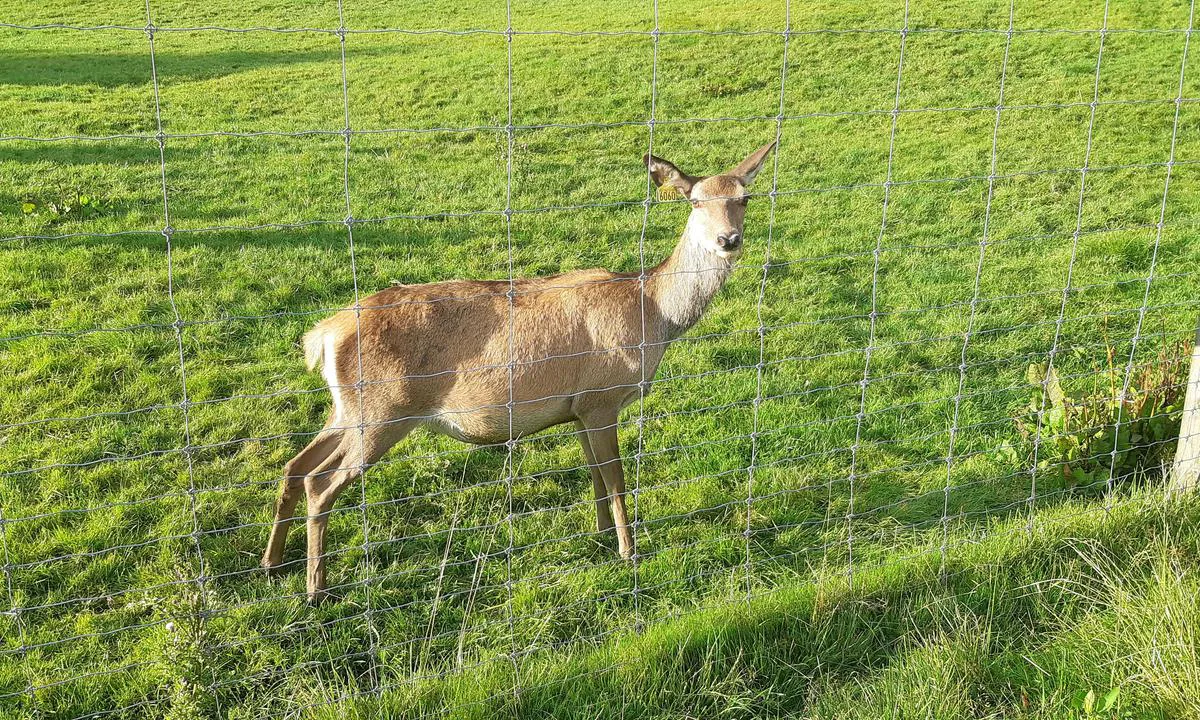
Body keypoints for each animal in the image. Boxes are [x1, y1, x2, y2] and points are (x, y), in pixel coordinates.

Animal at [261, 140, 777, 602]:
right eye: (695, 200)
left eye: (744, 197)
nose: (728, 240)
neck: (654, 317)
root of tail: (323, 335)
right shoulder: (603, 396)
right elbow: (616, 479)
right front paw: (629, 551)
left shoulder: (578, 407)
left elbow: (594, 473)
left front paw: (598, 534)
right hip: (384, 409)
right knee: (320, 482)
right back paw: (316, 588)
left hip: (348, 408)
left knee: (294, 465)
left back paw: (272, 562)